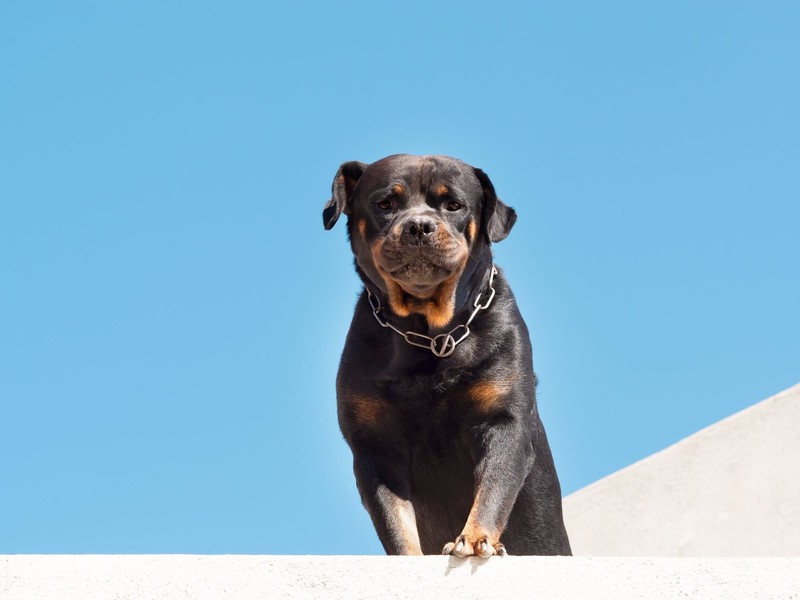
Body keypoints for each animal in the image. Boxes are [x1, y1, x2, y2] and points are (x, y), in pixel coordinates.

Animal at [322, 155, 572, 556]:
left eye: (453, 204)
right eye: (385, 203)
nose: (419, 225)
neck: (430, 335)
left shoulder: (503, 420)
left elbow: (494, 487)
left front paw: (475, 539)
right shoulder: (374, 447)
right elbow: (395, 521)